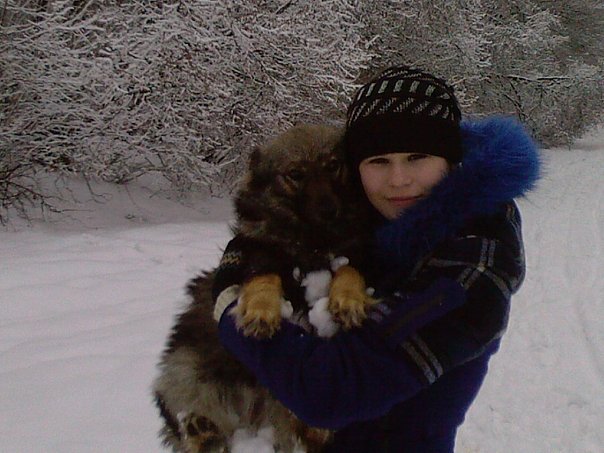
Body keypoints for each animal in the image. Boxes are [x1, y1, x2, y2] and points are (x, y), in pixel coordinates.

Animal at [153, 124, 374, 452]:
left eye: (333, 165)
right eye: (295, 174)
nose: (329, 210)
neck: (311, 242)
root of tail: (252, 411)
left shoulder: (351, 252)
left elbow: (348, 270)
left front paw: (348, 300)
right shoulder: (256, 254)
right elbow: (262, 279)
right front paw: (260, 312)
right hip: (184, 368)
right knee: (191, 415)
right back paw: (199, 428)